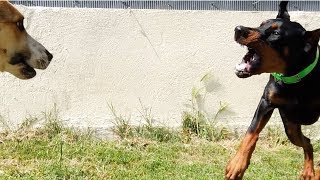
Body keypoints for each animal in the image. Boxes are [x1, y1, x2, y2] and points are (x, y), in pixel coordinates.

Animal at [226, 1, 318, 180]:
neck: (295, 78)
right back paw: (308, 171)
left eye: (276, 33)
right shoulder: (266, 102)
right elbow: (251, 133)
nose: (238, 29)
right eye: (261, 24)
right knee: (307, 142)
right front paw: (237, 165)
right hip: (291, 128)